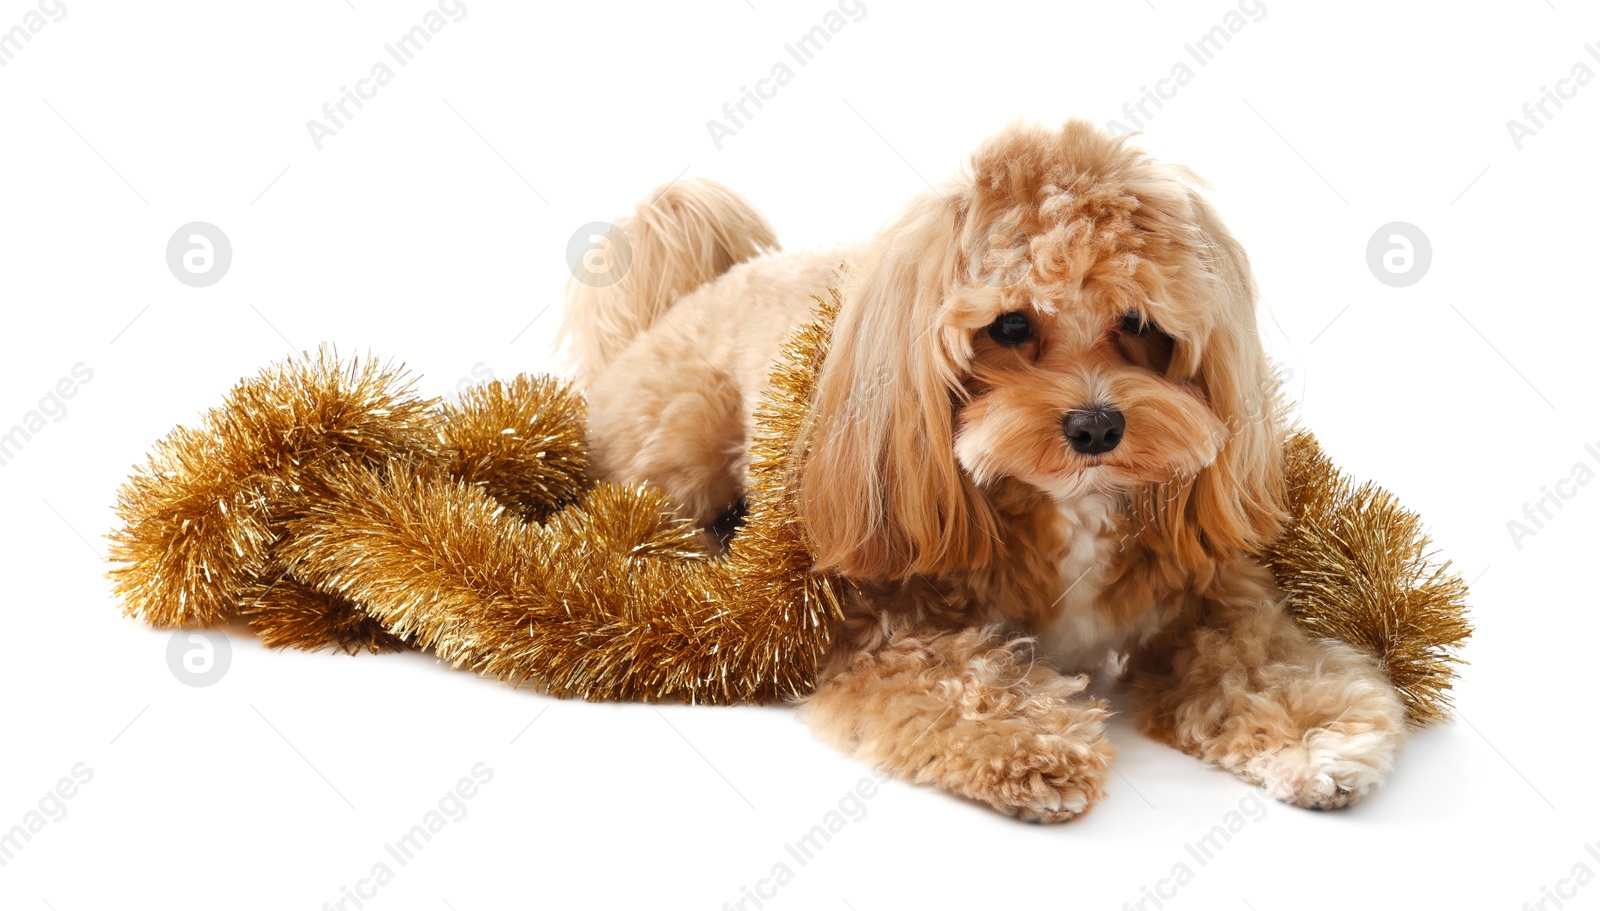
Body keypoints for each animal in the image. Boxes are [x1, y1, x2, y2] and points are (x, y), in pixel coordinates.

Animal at [560, 116, 1401, 819]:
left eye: (1138, 320)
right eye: (1011, 324)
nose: (1097, 424)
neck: (1072, 507)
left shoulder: (1212, 594)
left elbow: (1263, 659)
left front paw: (1317, 737)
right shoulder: (891, 621)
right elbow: (961, 678)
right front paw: (1032, 745)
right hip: (686, 432)